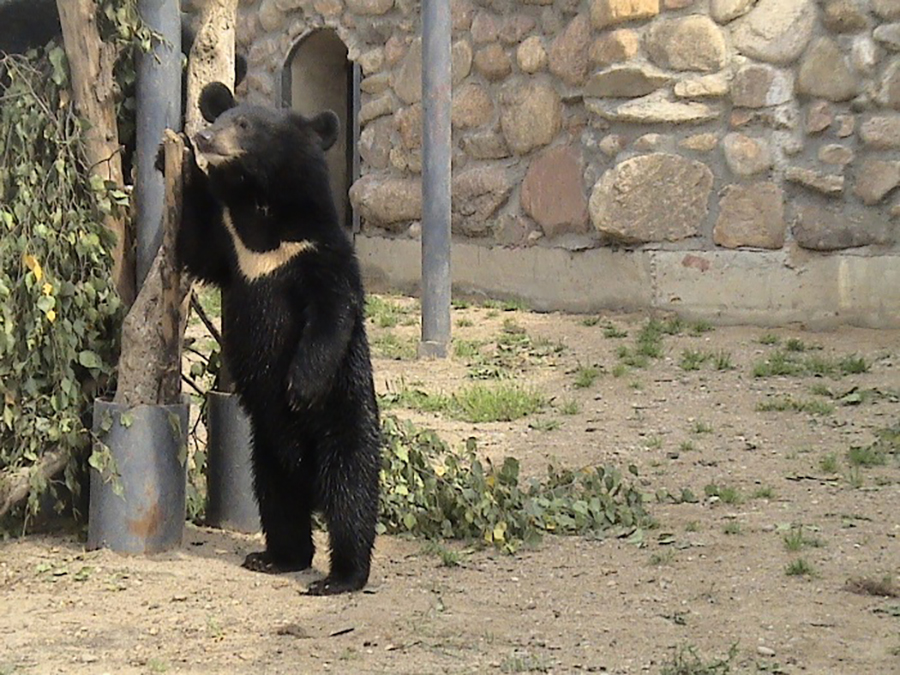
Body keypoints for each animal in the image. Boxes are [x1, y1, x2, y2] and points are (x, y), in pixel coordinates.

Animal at [172, 82, 380, 596]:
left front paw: (299, 387)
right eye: (221, 117)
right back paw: (276, 557)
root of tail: (308, 477)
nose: (205, 137)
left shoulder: (318, 251)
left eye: (246, 125)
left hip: (345, 418)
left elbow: (331, 313)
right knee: (277, 497)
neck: (264, 207)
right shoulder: (234, 251)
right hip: (264, 444)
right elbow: (195, 246)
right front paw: (181, 157)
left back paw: (340, 576)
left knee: (351, 494)